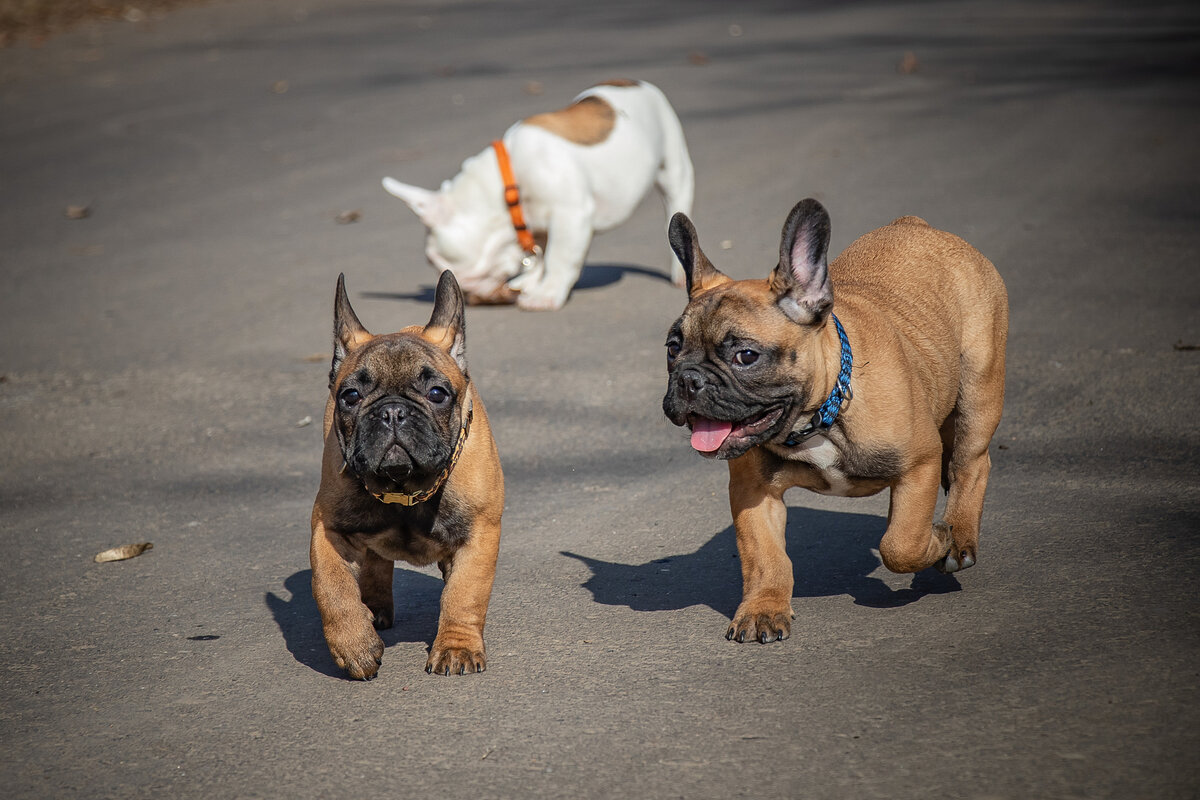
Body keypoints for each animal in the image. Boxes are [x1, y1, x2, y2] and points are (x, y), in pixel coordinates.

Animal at [374, 79, 696, 309]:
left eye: (434, 261)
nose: (466, 294)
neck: (505, 188)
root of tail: (636, 83)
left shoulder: (570, 214)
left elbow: (559, 257)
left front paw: (547, 294)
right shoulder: (537, 225)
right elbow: (541, 254)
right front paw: (532, 281)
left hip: (673, 163)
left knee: (676, 204)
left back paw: (681, 273)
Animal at [662, 200, 1008, 642]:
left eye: (746, 356)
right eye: (672, 349)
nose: (688, 379)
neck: (819, 417)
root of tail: (918, 226)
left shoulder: (920, 463)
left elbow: (901, 543)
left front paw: (938, 539)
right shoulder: (753, 492)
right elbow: (764, 556)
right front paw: (763, 608)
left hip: (978, 387)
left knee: (970, 463)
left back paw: (959, 538)